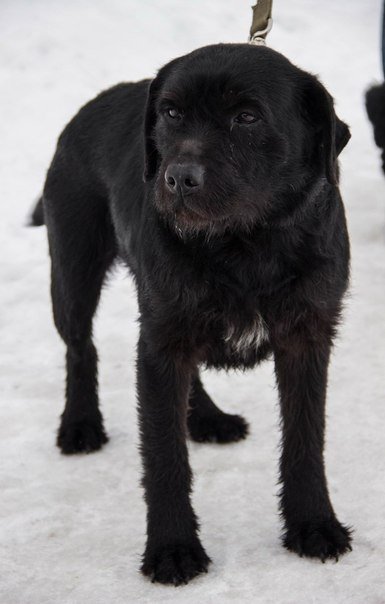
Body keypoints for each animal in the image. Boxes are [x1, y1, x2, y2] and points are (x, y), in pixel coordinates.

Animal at [33, 44, 352, 584]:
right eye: (171, 113)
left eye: (247, 117)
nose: (179, 178)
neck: (245, 244)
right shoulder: (161, 344)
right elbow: (165, 455)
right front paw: (173, 548)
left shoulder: (305, 339)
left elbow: (306, 439)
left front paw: (313, 524)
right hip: (75, 272)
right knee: (80, 348)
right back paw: (80, 424)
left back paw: (206, 417)